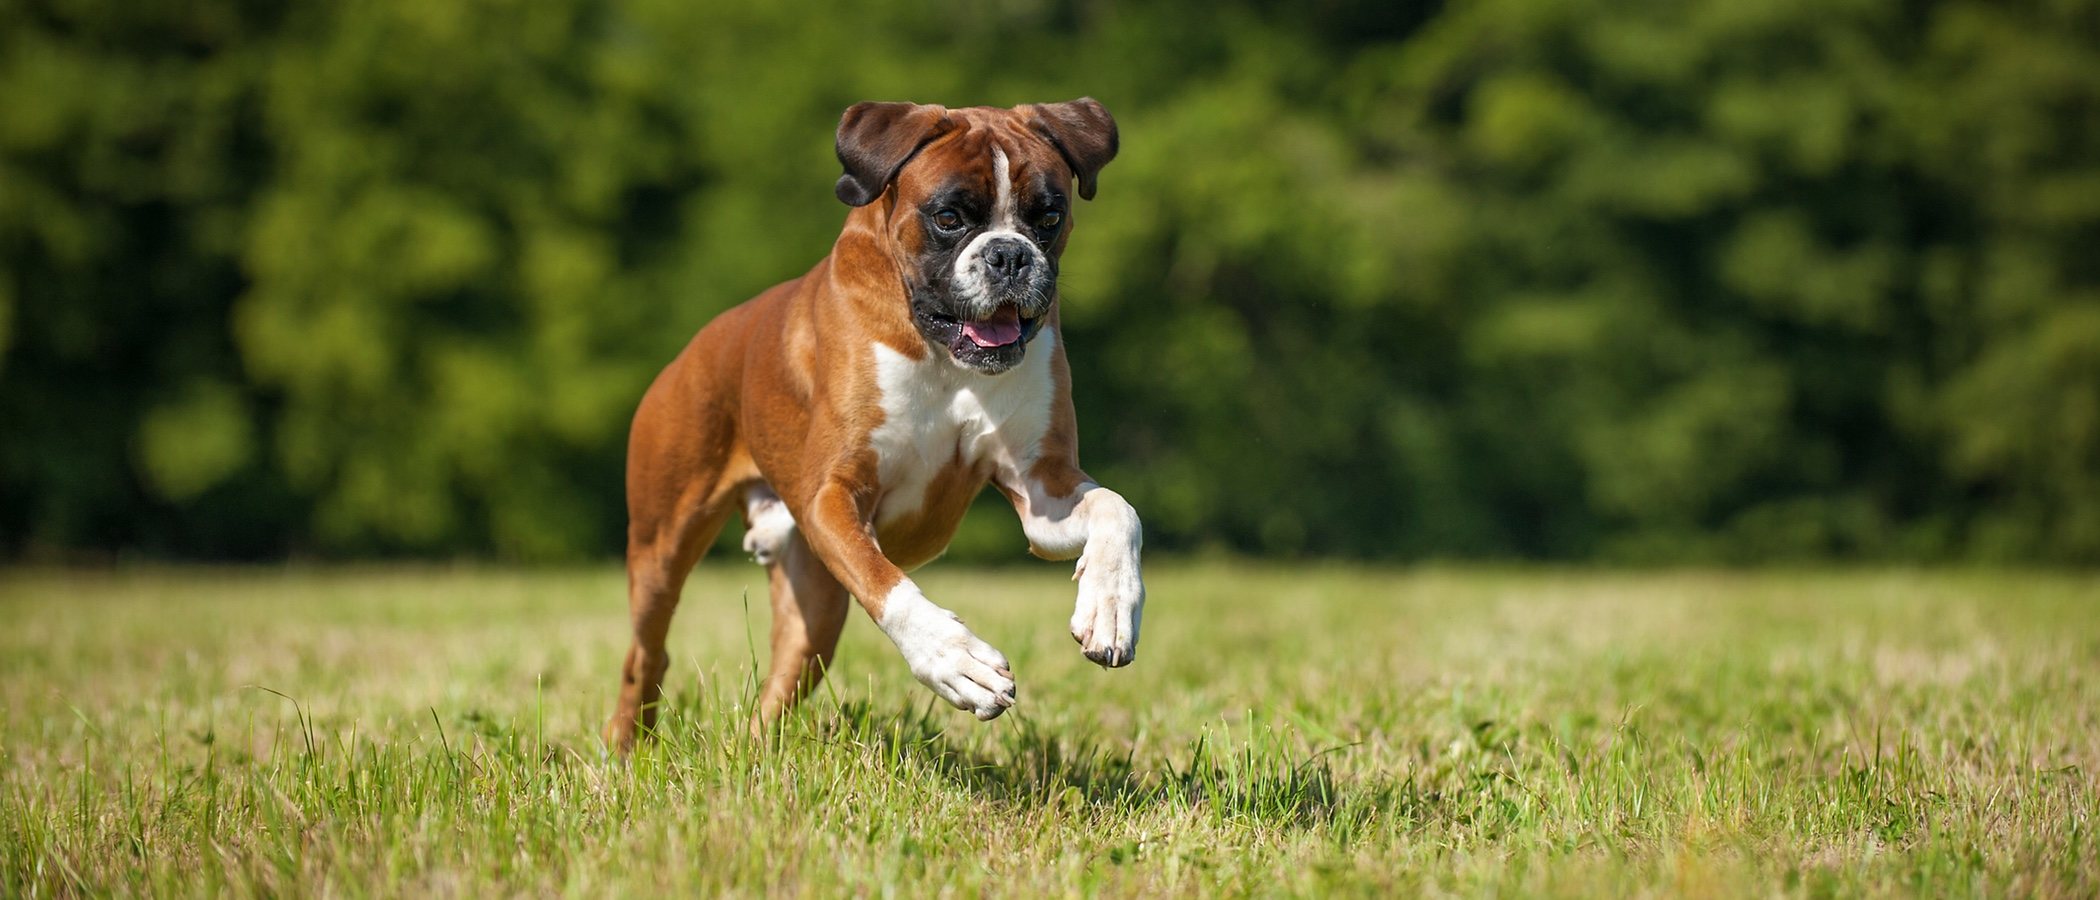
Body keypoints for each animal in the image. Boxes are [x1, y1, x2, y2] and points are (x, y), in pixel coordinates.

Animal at [600, 98, 1142, 751]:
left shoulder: (1043, 491)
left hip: (814, 613)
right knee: (645, 656)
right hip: (662, 547)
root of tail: (693, 349)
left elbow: (1118, 509)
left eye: (1050, 216)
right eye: (948, 216)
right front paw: (956, 660)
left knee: (773, 698)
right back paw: (626, 750)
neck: (943, 355)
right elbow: (889, 587)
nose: (1009, 255)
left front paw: (1110, 606)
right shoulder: (833, 497)